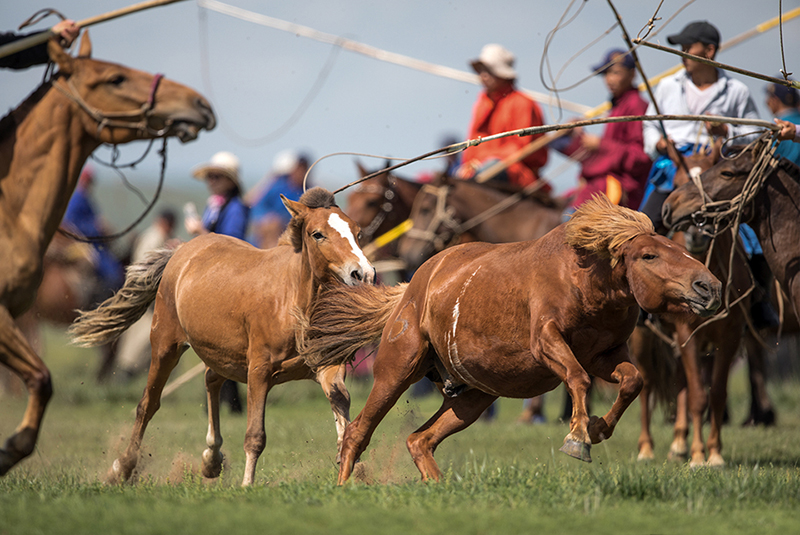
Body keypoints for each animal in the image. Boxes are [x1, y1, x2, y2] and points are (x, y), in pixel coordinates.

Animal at [70, 188, 375, 486]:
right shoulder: (259, 370)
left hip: (221, 353)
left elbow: (342, 404)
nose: (363, 273)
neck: (292, 300)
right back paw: (122, 468)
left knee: (210, 380)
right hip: (165, 345)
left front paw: (350, 466)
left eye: (358, 231)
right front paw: (247, 484)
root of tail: (182, 250)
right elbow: (255, 435)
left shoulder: (325, 367)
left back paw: (212, 459)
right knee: (148, 404)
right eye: (317, 234)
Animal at [300, 195, 722, 484]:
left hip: (475, 394)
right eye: (649, 255)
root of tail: (410, 289)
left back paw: (437, 485)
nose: (709, 286)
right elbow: (578, 378)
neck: (583, 277)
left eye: (679, 247)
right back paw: (343, 486)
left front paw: (598, 427)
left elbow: (632, 380)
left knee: (420, 440)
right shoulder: (548, 342)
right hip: (398, 367)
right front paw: (578, 437)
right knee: (357, 432)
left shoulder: (604, 353)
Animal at [634, 141, 751, 467]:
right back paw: (646, 448)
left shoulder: (728, 337)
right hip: (643, 341)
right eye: (675, 184)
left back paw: (678, 443)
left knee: (680, 383)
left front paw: (714, 453)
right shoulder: (688, 335)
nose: (696, 230)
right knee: (646, 385)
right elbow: (699, 396)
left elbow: (716, 395)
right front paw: (700, 456)